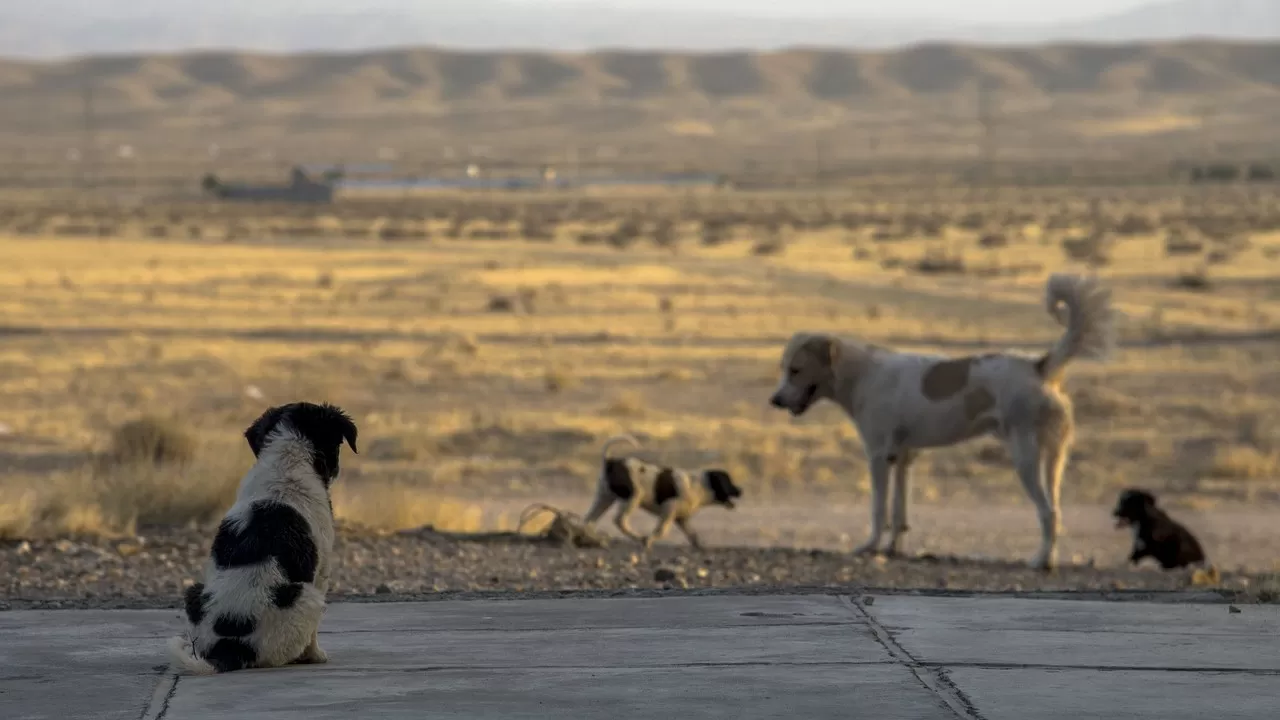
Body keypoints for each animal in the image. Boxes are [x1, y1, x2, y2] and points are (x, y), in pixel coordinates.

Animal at [163, 399, 360, 671]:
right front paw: (316, 655)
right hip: (307, 598)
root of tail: (230, 647)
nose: (335, 470)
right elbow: (313, 636)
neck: (287, 462)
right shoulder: (322, 570)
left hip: (193, 593)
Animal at [586, 430, 747, 548]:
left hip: (604, 498)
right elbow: (661, 531)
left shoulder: (682, 519)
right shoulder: (669, 509)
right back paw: (638, 537)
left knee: (590, 519)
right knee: (620, 521)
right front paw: (649, 540)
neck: (701, 485)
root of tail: (610, 462)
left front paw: (700, 545)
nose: (741, 490)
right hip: (632, 497)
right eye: (728, 481)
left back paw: (588, 535)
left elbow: (693, 534)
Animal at [768, 272, 1111, 566]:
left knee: (1048, 512)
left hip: (1025, 457)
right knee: (1056, 508)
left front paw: (870, 547)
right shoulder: (902, 457)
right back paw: (1049, 558)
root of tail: (1039, 366)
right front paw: (892, 549)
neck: (863, 374)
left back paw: (1040, 561)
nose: (775, 401)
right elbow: (899, 512)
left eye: (796, 370)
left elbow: (878, 509)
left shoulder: (878, 456)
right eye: (784, 368)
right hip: (1055, 459)